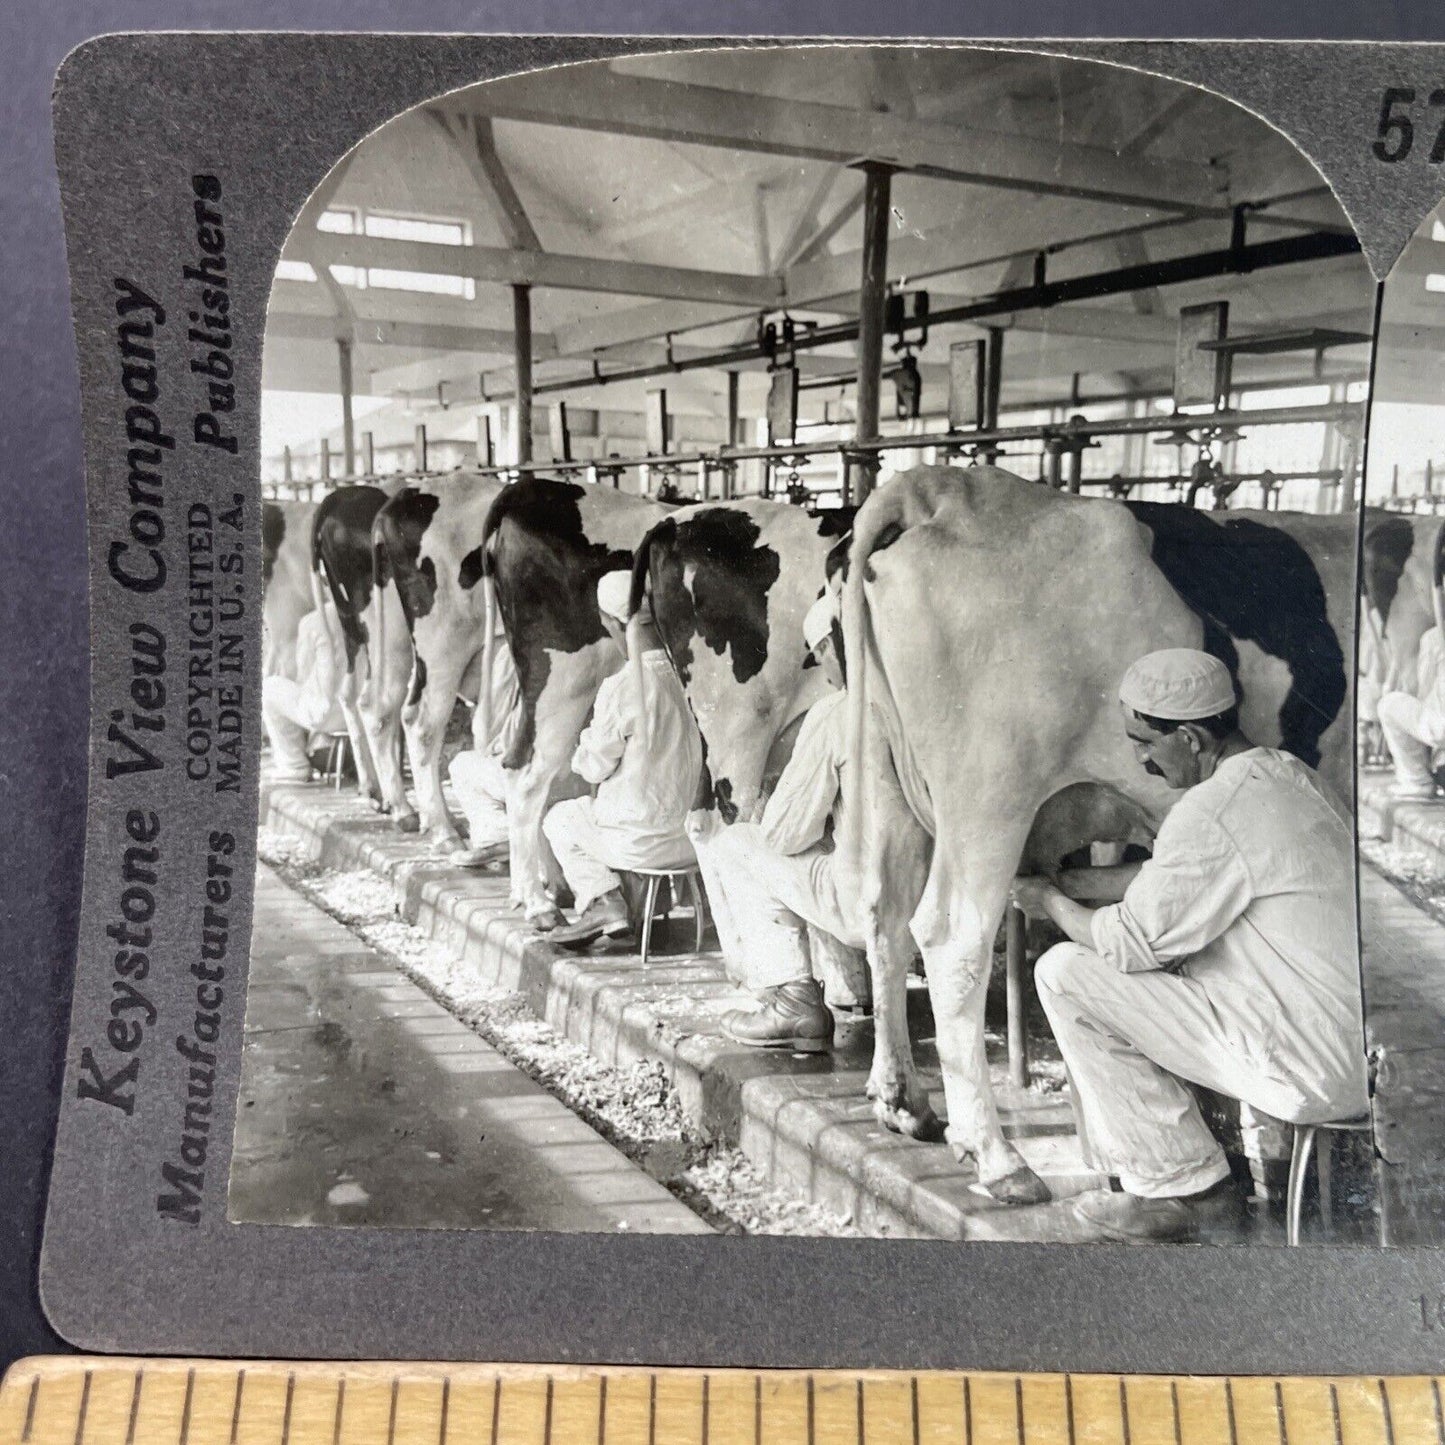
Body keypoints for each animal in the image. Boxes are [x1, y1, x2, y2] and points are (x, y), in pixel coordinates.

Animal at [309, 482, 413, 814]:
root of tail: (332, 500)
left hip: (352, 626)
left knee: (350, 693)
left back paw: (373, 789)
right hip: (390, 631)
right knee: (377, 701)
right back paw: (398, 803)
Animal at [369, 473, 511, 843]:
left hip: (393, 634)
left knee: (381, 707)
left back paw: (408, 812)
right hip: (443, 642)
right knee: (422, 722)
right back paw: (442, 829)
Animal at [843, 468, 1358, 1202]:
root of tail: (941, 486)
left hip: (891, 777)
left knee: (883, 916)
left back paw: (903, 1103)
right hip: (990, 789)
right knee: (949, 937)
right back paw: (995, 1155)